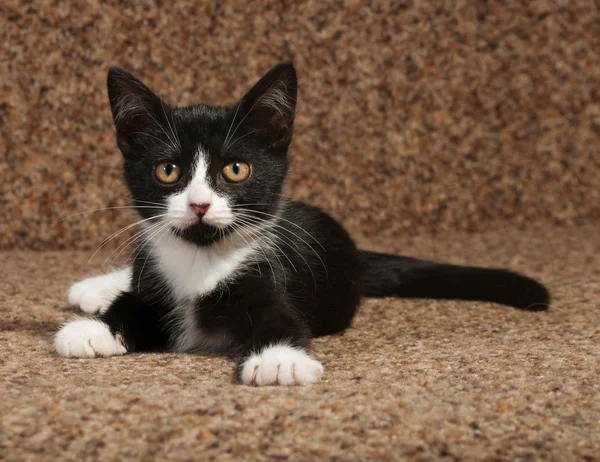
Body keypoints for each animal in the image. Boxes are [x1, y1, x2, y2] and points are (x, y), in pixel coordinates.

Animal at [54, 62, 552, 386]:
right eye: (167, 171)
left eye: (236, 169)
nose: (198, 205)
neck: (202, 256)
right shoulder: (156, 283)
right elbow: (134, 303)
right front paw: (95, 330)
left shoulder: (270, 278)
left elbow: (280, 319)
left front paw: (280, 360)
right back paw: (95, 290)